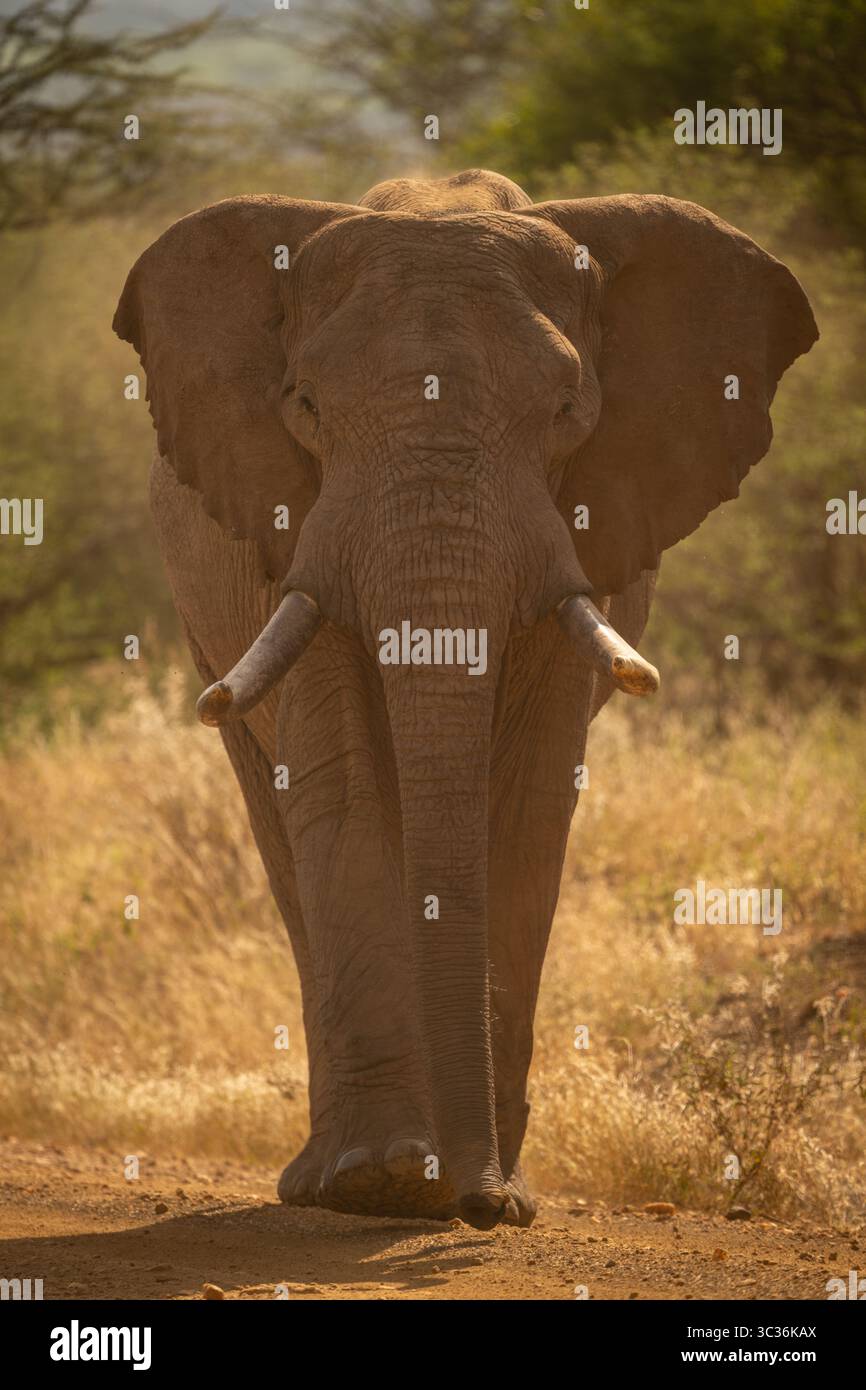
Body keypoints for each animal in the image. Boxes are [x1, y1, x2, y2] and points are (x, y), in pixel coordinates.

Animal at [113, 167, 817, 1230]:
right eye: (305, 405)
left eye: (570, 409)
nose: (477, 1206)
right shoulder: (291, 526)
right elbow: (347, 786)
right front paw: (383, 1184)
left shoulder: (585, 528)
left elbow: (528, 797)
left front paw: (493, 1192)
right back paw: (334, 1177)